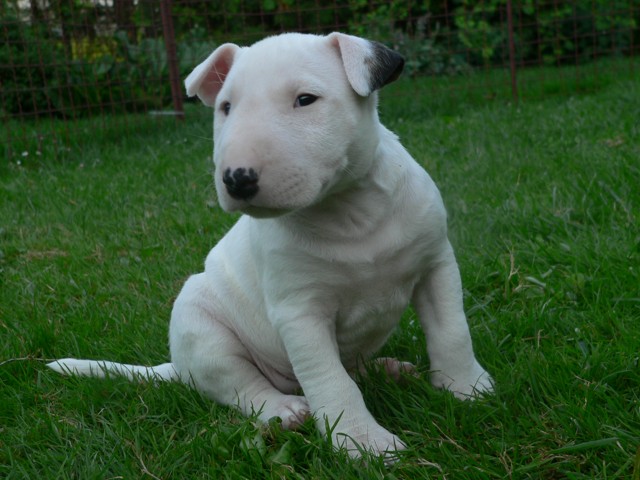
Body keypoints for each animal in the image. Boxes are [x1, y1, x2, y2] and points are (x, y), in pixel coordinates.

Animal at [48, 32, 493, 459]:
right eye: (225, 107)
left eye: (305, 99)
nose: (237, 178)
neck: (350, 213)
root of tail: (176, 366)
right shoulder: (300, 313)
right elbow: (329, 379)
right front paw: (361, 441)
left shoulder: (436, 266)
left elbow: (452, 332)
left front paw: (467, 388)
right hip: (201, 327)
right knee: (239, 384)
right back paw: (283, 408)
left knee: (351, 367)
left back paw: (387, 370)